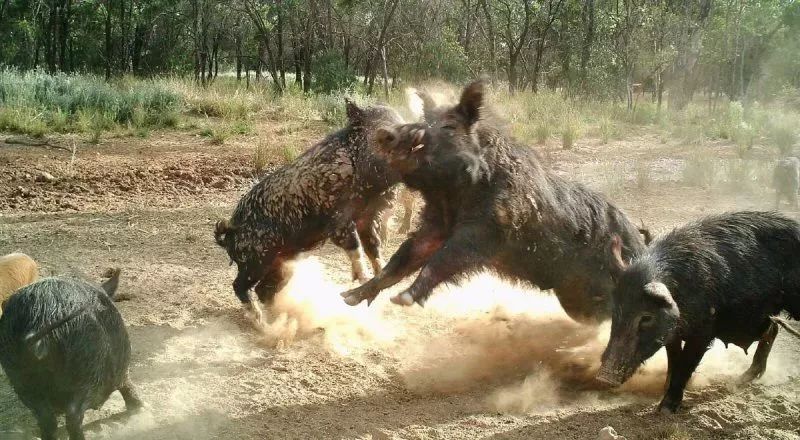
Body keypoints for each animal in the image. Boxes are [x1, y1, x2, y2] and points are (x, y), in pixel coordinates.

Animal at [0, 268, 141, 440]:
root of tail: (40, 320)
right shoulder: (122, 369)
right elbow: (127, 384)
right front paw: (140, 407)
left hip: (19, 376)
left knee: (46, 419)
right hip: (86, 372)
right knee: (73, 416)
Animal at [212, 101, 404, 318]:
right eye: (386, 133)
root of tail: (229, 232)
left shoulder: (369, 217)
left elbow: (374, 246)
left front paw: (378, 274)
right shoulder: (337, 219)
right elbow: (354, 246)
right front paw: (363, 278)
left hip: (282, 262)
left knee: (263, 289)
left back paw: (278, 316)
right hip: (256, 257)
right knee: (239, 285)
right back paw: (260, 319)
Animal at [340, 78, 648, 324]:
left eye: (449, 127)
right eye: (424, 120)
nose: (387, 133)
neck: (452, 198)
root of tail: (640, 242)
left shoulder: (485, 231)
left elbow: (443, 259)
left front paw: (402, 298)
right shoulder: (434, 227)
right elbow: (401, 259)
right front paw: (349, 297)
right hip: (576, 299)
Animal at [596, 211, 800, 414]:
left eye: (646, 317)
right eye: (616, 311)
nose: (603, 377)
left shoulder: (704, 331)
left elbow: (685, 364)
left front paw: (665, 409)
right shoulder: (672, 333)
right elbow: (674, 359)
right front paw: (663, 390)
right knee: (772, 330)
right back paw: (740, 380)